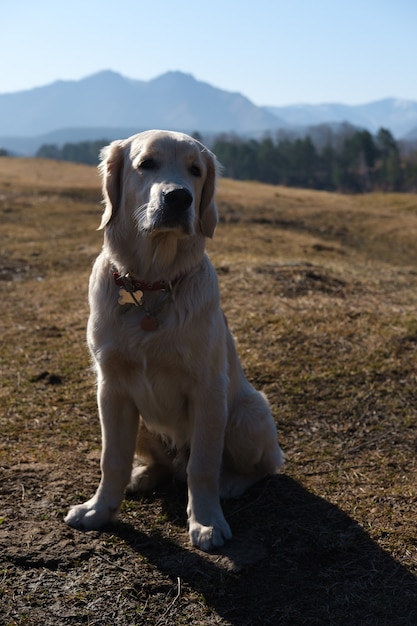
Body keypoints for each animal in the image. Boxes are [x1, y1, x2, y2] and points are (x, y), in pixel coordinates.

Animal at [65, 129, 284, 548]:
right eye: (146, 164)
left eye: (196, 171)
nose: (179, 197)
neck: (152, 283)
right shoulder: (111, 388)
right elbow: (111, 458)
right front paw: (99, 510)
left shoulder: (208, 389)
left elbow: (203, 465)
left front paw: (207, 522)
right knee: (160, 465)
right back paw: (142, 476)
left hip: (248, 415)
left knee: (265, 465)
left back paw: (231, 484)